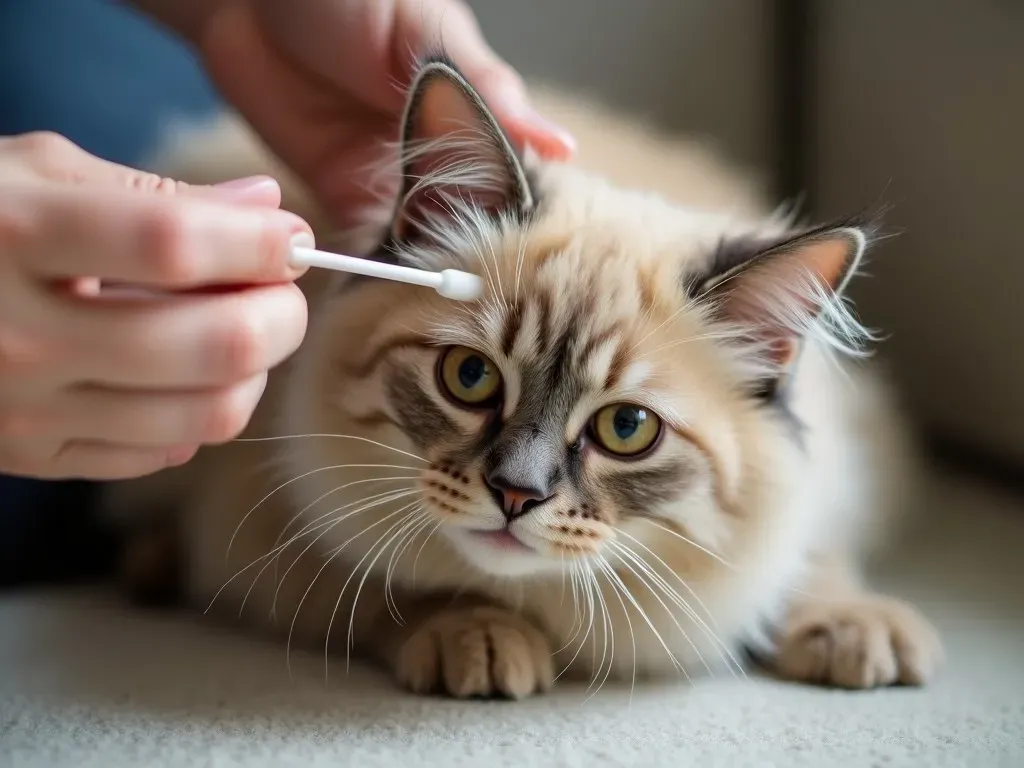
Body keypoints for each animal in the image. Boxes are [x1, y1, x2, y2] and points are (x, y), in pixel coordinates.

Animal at [105, 57, 942, 700]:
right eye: (470, 377)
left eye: (626, 429)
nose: (516, 495)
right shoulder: (267, 528)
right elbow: (401, 583)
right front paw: (476, 635)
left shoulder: (829, 481)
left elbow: (814, 557)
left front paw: (855, 627)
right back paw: (147, 567)